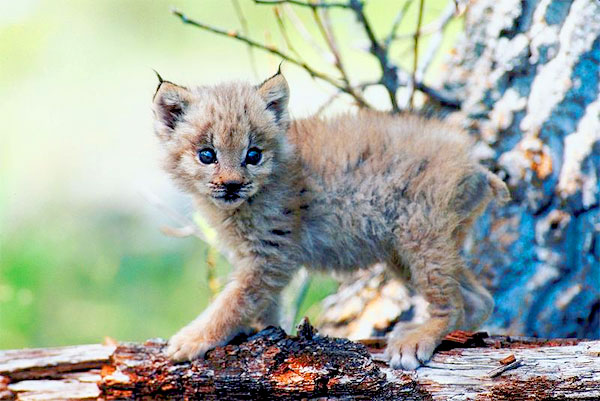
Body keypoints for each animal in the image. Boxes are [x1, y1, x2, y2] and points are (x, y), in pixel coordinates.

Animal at [152, 72, 508, 368]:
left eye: (253, 155)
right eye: (206, 155)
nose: (231, 185)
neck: (239, 206)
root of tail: (476, 166)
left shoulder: (270, 256)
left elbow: (233, 301)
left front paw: (192, 339)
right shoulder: (257, 258)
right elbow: (260, 301)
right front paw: (265, 328)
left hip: (419, 234)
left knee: (453, 302)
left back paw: (417, 338)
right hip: (405, 250)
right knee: (480, 299)